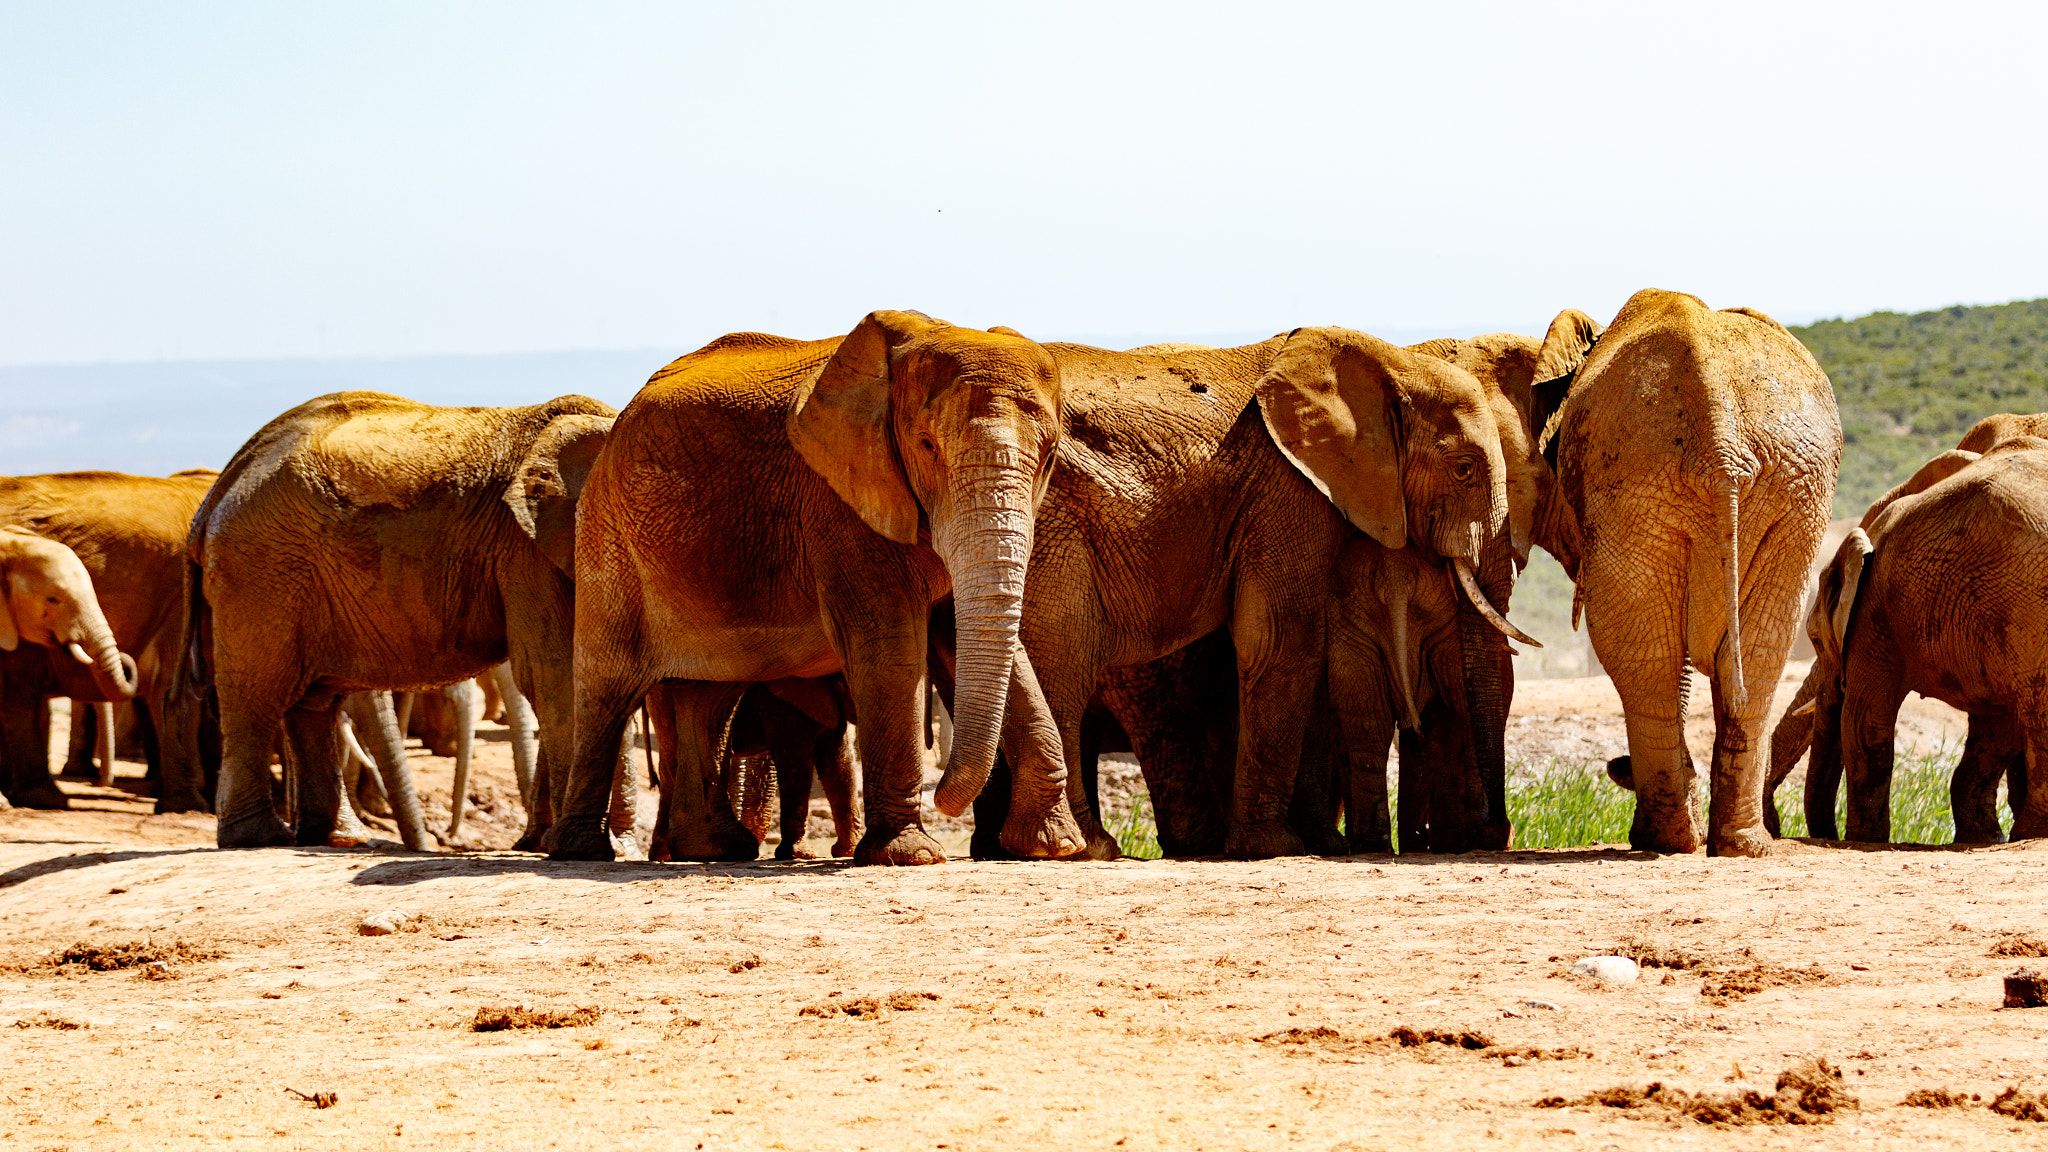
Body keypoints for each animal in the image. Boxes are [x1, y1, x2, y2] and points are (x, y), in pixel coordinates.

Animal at [184, 391, 616, 850]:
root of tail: (221, 485)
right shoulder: (522, 551)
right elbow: (555, 672)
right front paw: (582, 848)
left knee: (314, 702)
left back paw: (339, 838)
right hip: (261, 570)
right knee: (258, 698)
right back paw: (262, 837)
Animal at [551, 311, 1086, 866]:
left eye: (1049, 454)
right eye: (927, 446)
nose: (945, 796)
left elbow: (973, 638)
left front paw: (1056, 847)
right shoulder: (836, 504)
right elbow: (890, 645)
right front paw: (910, 854)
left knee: (709, 693)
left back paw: (718, 847)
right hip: (607, 538)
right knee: (607, 685)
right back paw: (583, 850)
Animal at [973, 328, 1527, 860]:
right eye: (1464, 469)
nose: (1495, 832)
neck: (1387, 359)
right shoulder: (1288, 490)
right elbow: (1282, 636)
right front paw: (1272, 847)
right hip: (1053, 521)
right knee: (1065, 657)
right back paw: (1082, 847)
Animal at [1528, 289, 1841, 856]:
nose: (1615, 766)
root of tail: (1723, 448)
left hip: (1643, 484)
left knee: (1648, 662)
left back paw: (1669, 840)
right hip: (1791, 492)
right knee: (1756, 654)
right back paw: (1737, 844)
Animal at [1761, 415, 2048, 836]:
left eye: (1815, 639)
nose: (1775, 828)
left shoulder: (1875, 608)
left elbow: (1864, 727)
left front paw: (1863, 841)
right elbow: (1995, 729)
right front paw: (1983, 836)